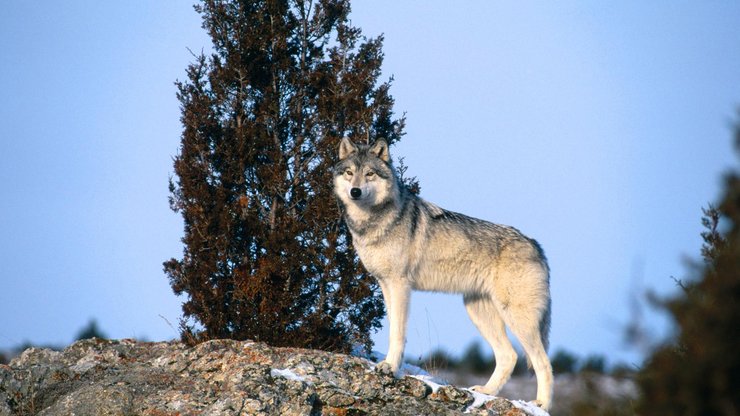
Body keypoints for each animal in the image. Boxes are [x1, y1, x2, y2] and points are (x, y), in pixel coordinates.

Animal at [332, 137, 552, 410]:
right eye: (350, 173)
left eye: (369, 174)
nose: (355, 191)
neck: (373, 222)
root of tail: (536, 245)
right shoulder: (385, 285)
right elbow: (393, 328)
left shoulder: (400, 285)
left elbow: (398, 333)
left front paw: (390, 368)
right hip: (478, 311)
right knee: (508, 356)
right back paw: (486, 391)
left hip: (517, 318)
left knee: (543, 362)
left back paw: (541, 404)